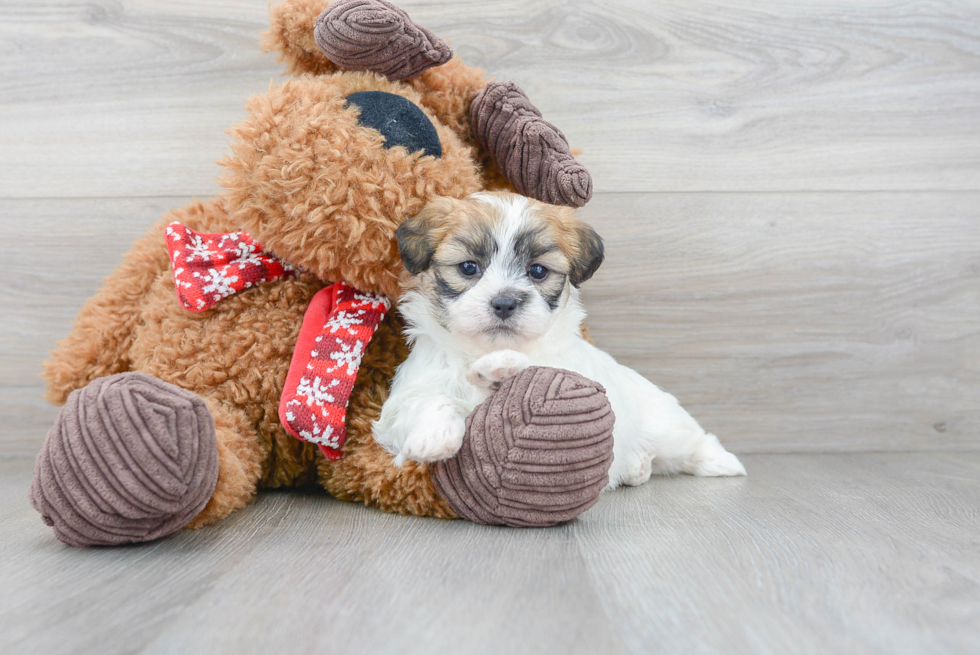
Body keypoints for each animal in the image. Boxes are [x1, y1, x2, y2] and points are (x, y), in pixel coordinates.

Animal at [372, 190, 748, 486]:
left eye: (538, 271)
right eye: (468, 268)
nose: (505, 302)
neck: (482, 350)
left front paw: (501, 370)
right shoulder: (402, 402)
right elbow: (431, 401)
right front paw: (433, 436)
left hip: (664, 424)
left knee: (693, 440)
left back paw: (721, 461)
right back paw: (636, 467)